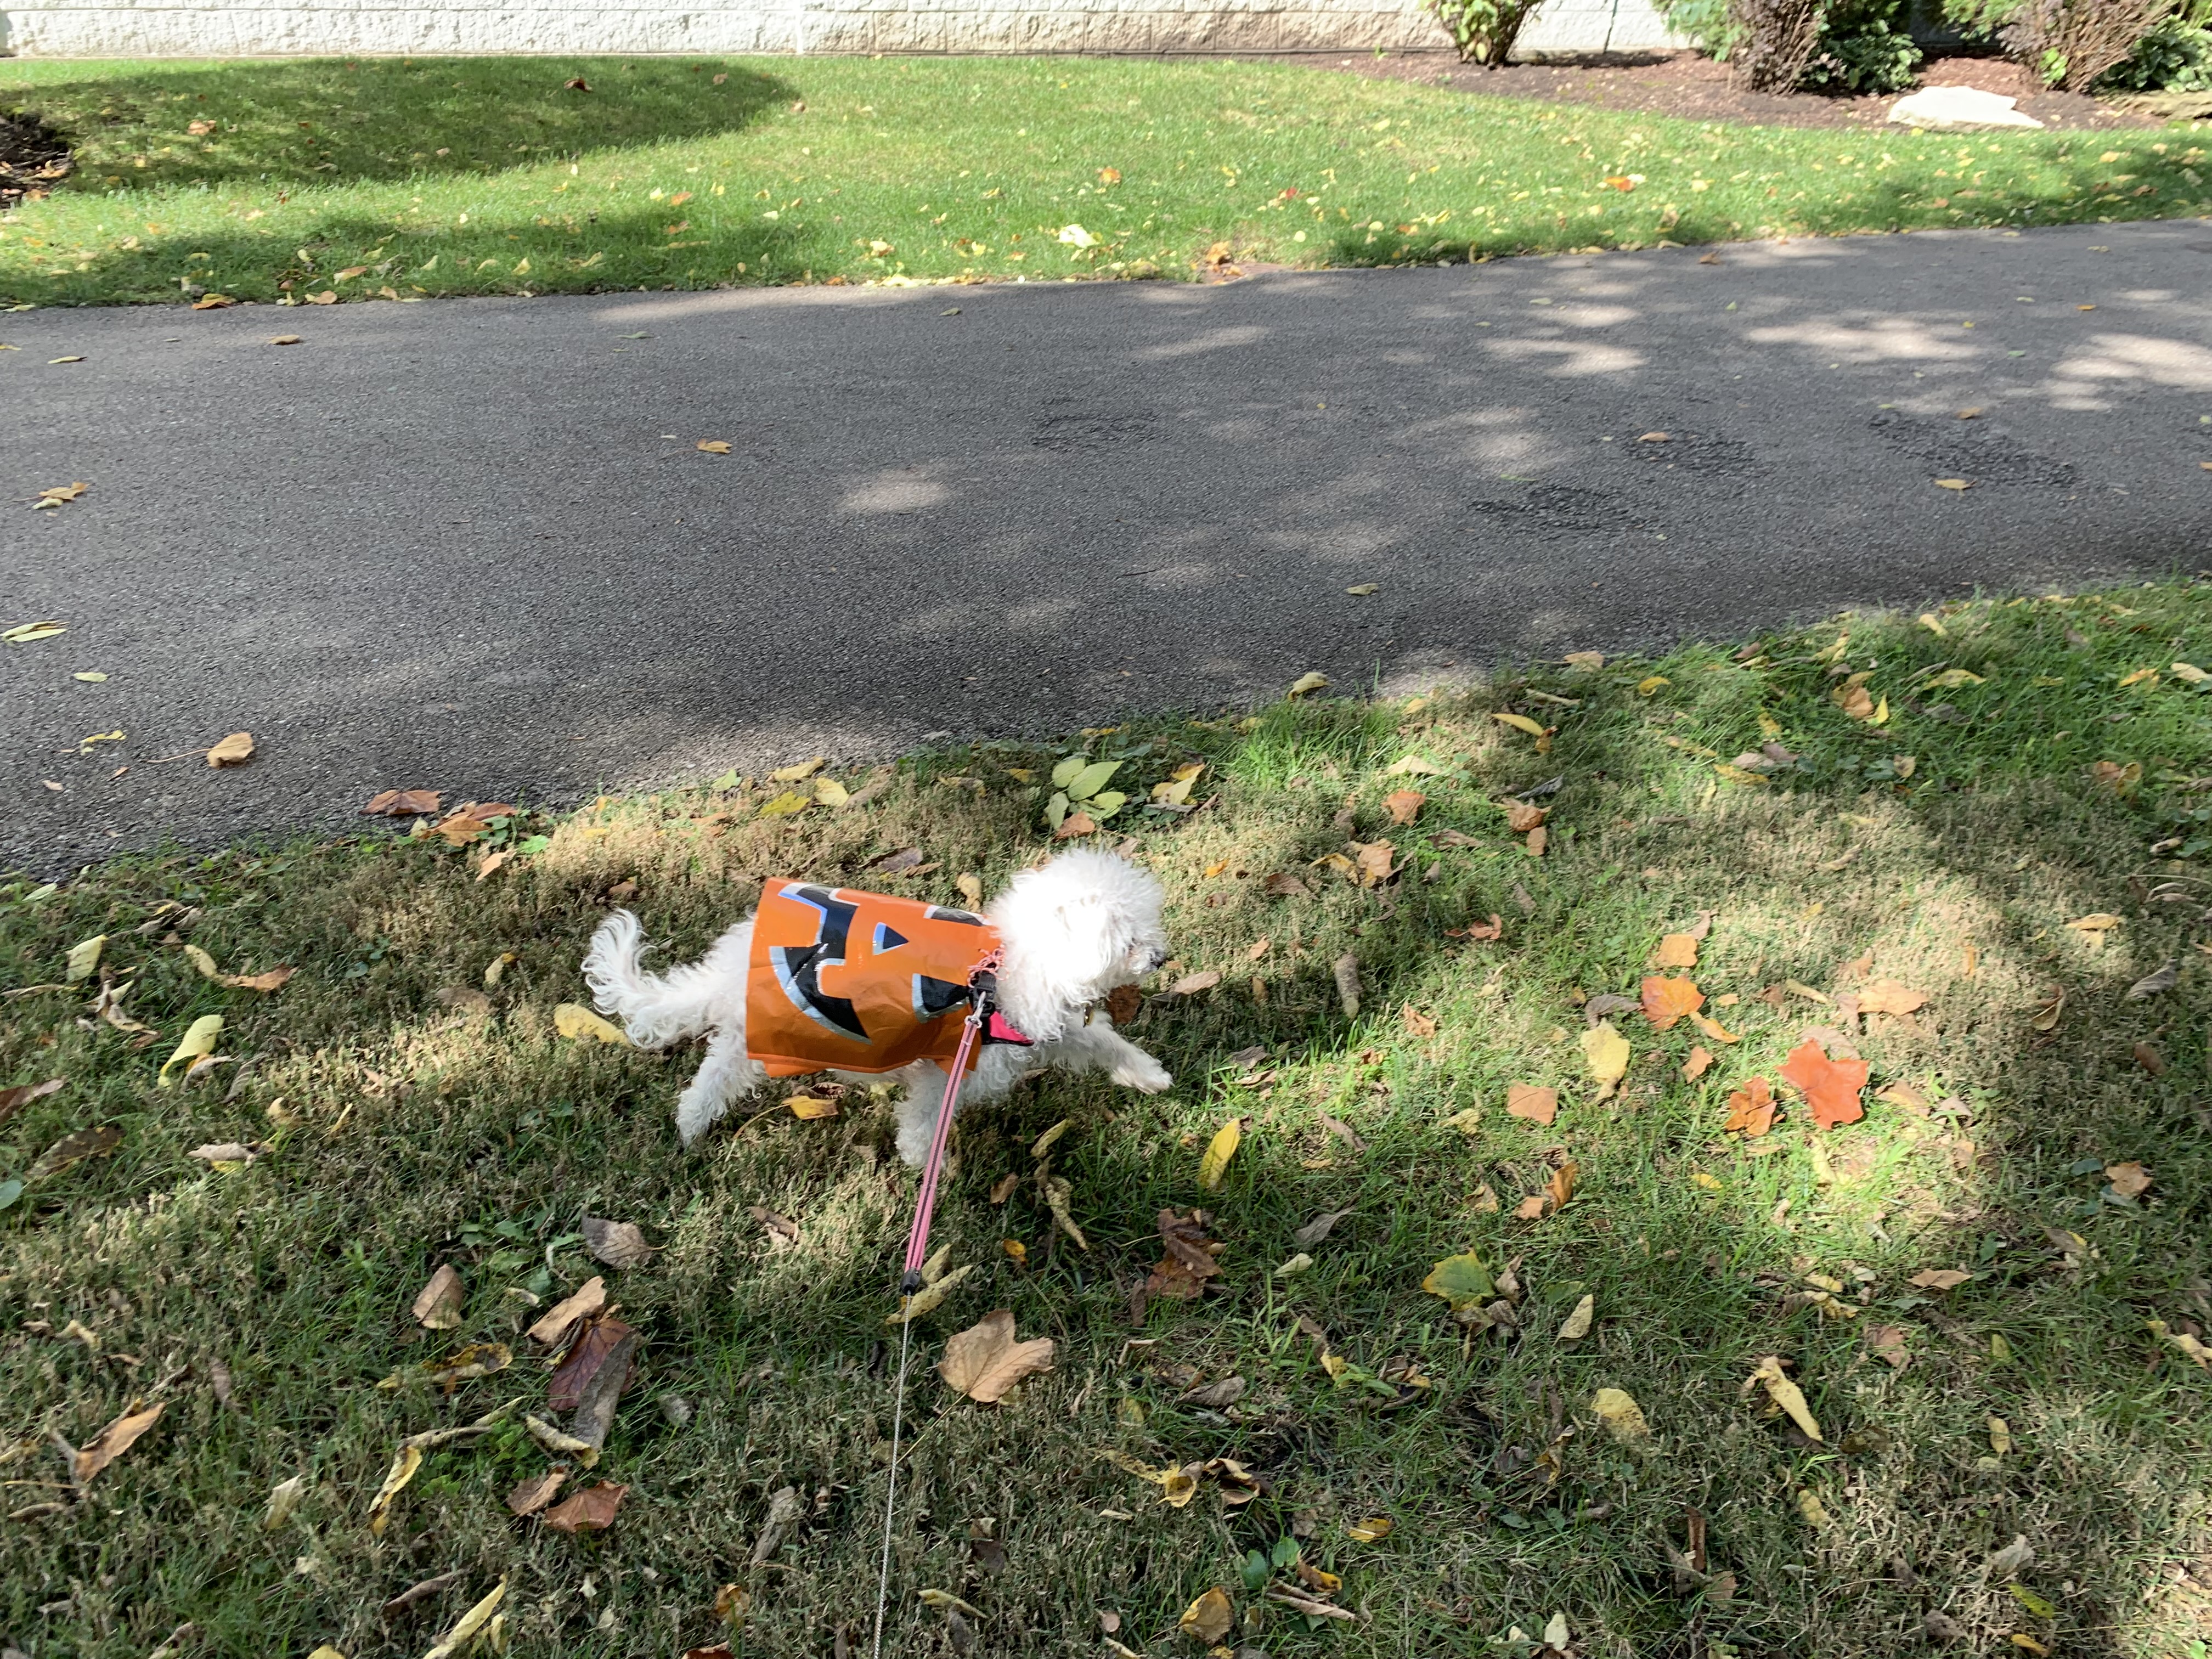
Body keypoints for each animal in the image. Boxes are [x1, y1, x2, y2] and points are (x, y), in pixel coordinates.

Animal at [584, 849, 1177, 1159]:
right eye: (1129, 940)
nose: (1162, 956)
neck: (1004, 969)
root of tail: (729, 965)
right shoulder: (951, 1069)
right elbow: (924, 1117)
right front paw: (925, 1163)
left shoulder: (1047, 1029)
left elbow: (1103, 1040)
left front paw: (1148, 1074)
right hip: (757, 1038)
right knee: (712, 1079)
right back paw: (691, 1128)